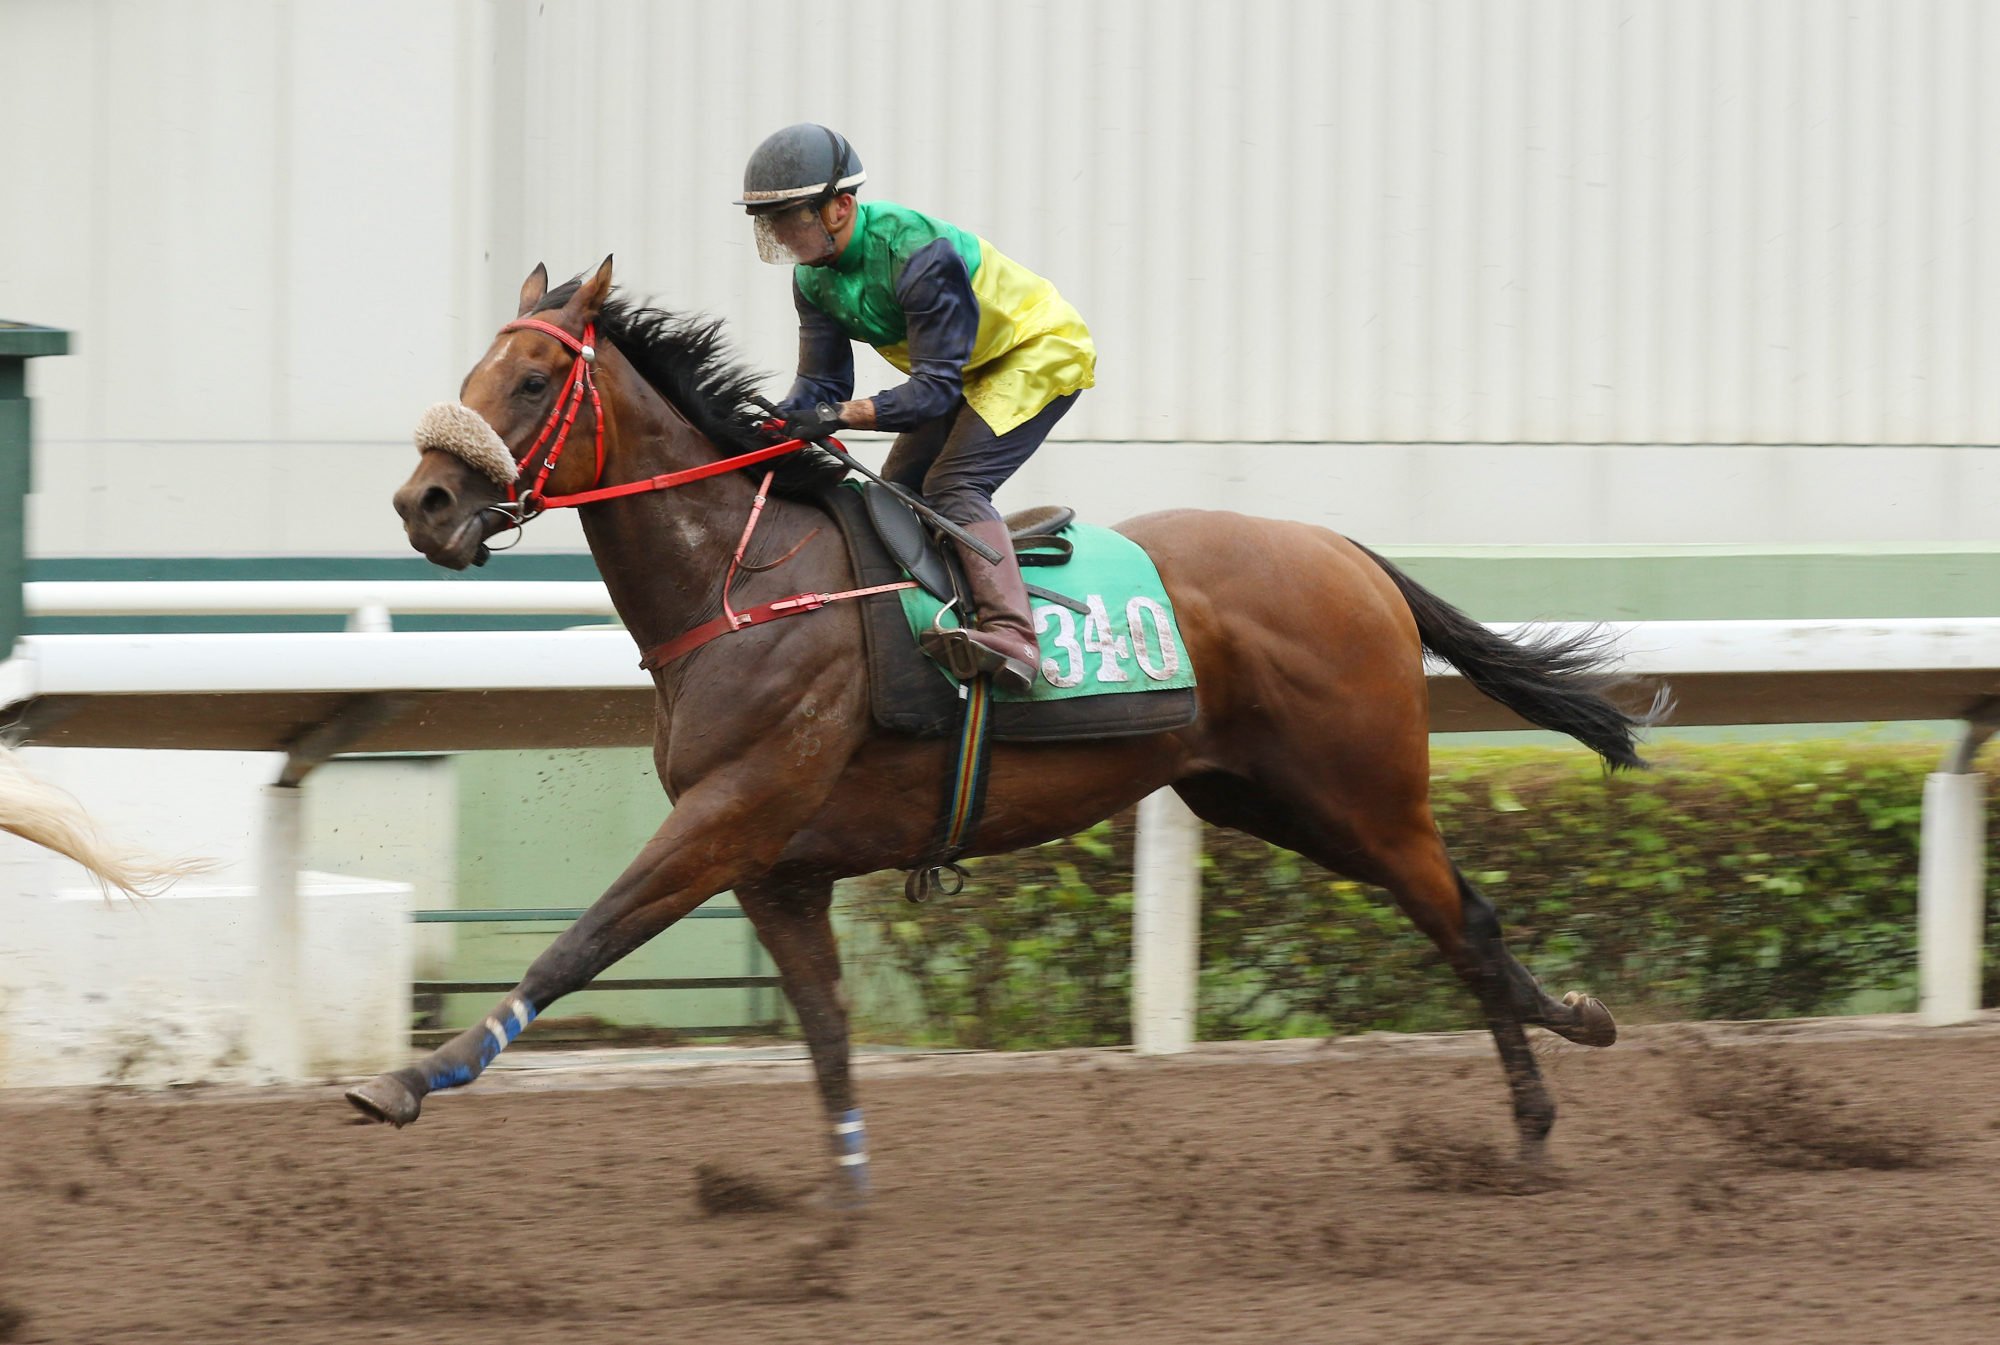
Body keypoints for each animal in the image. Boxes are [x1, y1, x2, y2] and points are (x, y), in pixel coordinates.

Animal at [360, 260, 1656, 1200]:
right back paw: (1576, 1019)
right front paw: (840, 1215)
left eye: (533, 379)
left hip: (1362, 792)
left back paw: (1533, 1129)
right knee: (1461, 920)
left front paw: (410, 1078)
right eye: (475, 368)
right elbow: (827, 1039)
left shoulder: (727, 819)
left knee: (1464, 925)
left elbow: (574, 946)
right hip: (1264, 796)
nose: (425, 502)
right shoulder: (778, 869)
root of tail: (1343, 551)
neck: (740, 583)